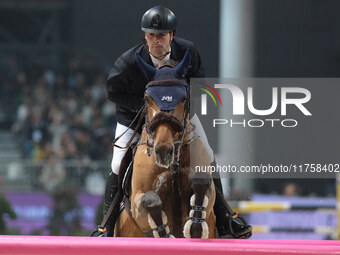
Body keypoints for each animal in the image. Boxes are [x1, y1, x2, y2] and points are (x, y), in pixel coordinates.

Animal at [114, 50, 215, 239]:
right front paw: (166, 235)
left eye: (183, 98)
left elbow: (201, 181)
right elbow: (150, 200)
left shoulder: (208, 188)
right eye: (147, 99)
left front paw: (195, 226)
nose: (163, 152)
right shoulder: (137, 204)